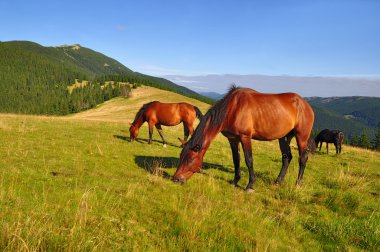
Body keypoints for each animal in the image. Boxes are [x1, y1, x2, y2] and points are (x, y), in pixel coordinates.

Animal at [173, 85, 314, 192]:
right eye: (181, 156)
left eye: (191, 159)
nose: (176, 178)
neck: (233, 108)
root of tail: (306, 105)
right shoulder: (233, 139)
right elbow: (236, 159)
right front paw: (235, 180)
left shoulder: (245, 137)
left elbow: (248, 160)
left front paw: (250, 185)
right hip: (284, 137)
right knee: (286, 158)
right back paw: (278, 182)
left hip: (301, 136)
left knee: (303, 158)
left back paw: (298, 184)